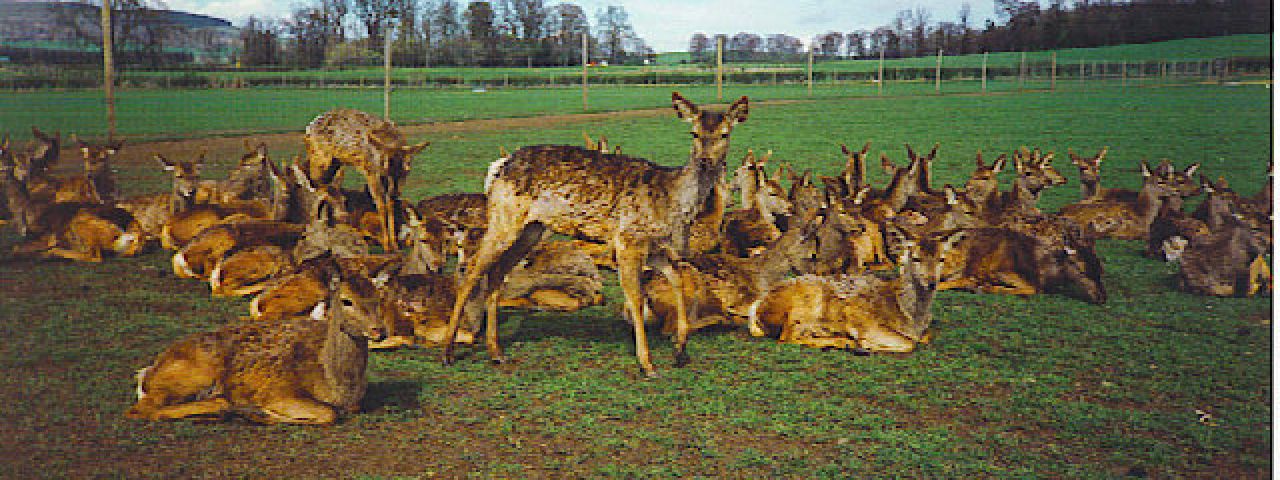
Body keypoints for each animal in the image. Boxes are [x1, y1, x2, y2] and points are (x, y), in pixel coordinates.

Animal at [442, 90, 747, 376]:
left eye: (725, 133)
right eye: (693, 132)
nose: (706, 162)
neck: (674, 205)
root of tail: (498, 168)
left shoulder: (657, 249)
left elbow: (677, 280)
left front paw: (680, 349)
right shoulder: (627, 239)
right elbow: (635, 297)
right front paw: (647, 364)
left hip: (532, 228)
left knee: (496, 271)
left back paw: (496, 352)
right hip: (504, 218)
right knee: (472, 271)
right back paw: (448, 352)